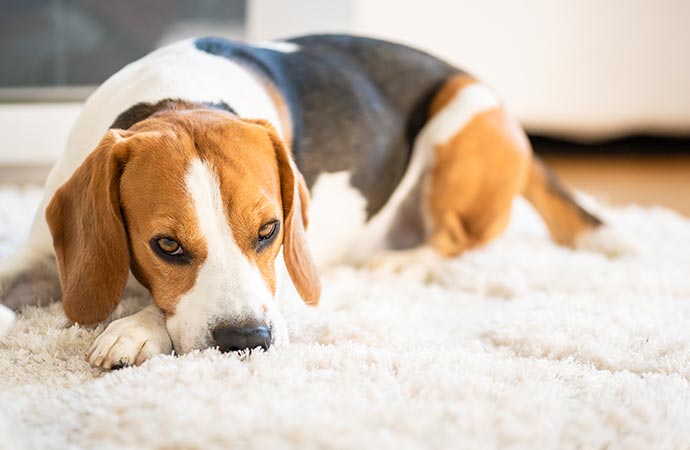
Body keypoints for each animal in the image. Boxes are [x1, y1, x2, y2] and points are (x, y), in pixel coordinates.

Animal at [0, 35, 600, 370]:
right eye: (166, 245)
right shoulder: (43, 253)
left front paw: (135, 327)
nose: (247, 341)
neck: (182, 98)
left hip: (461, 114)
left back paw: (403, 263)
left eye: (269, 231)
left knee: (458, 237)